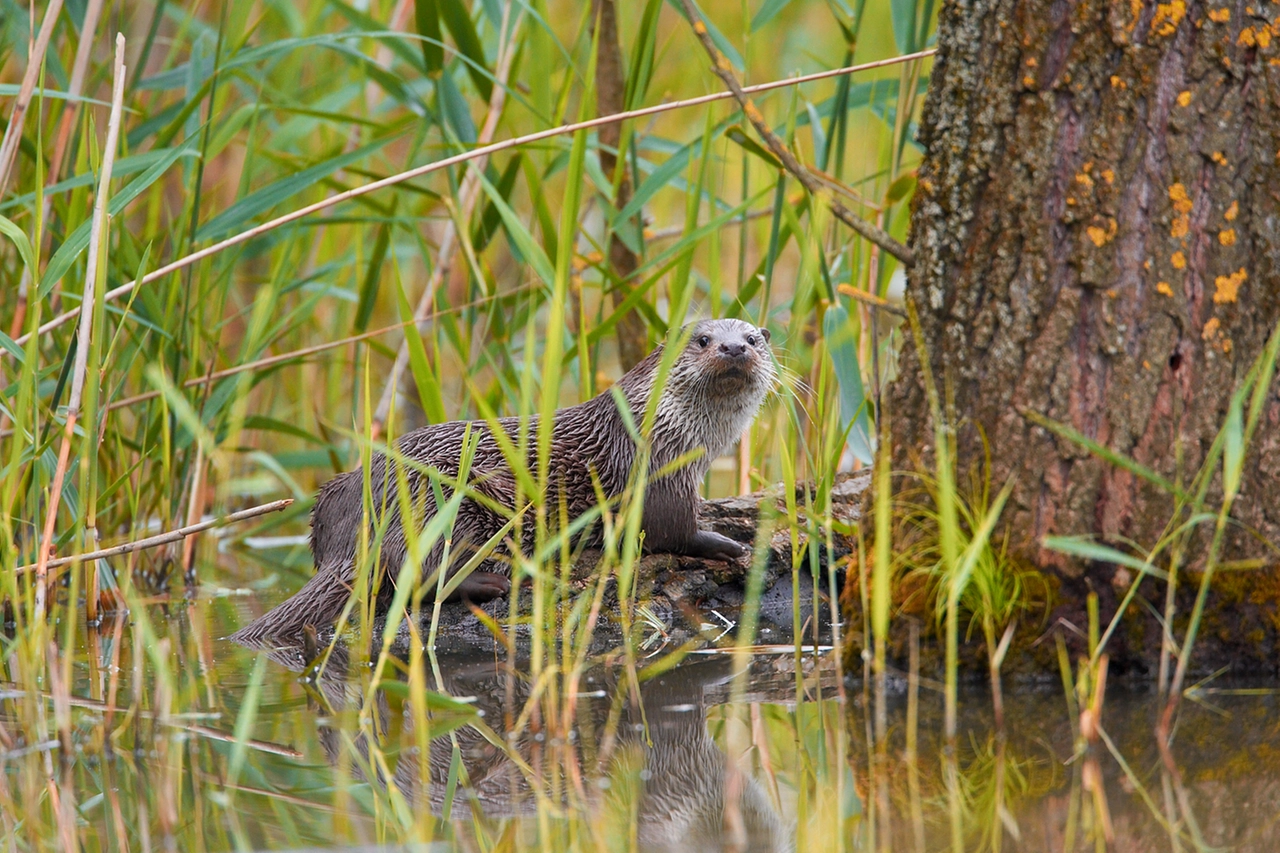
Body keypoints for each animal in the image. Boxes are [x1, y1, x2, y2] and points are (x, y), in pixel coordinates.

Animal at [231, 318, 773, 637]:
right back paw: (490, 582)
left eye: (752, 338)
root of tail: (348, 529)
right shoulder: (657, 476)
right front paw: (726, 542)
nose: (733, 349)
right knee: (415, 576)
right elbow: (671, 531)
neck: (657, 425)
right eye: (703, 340)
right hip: (442, 505)